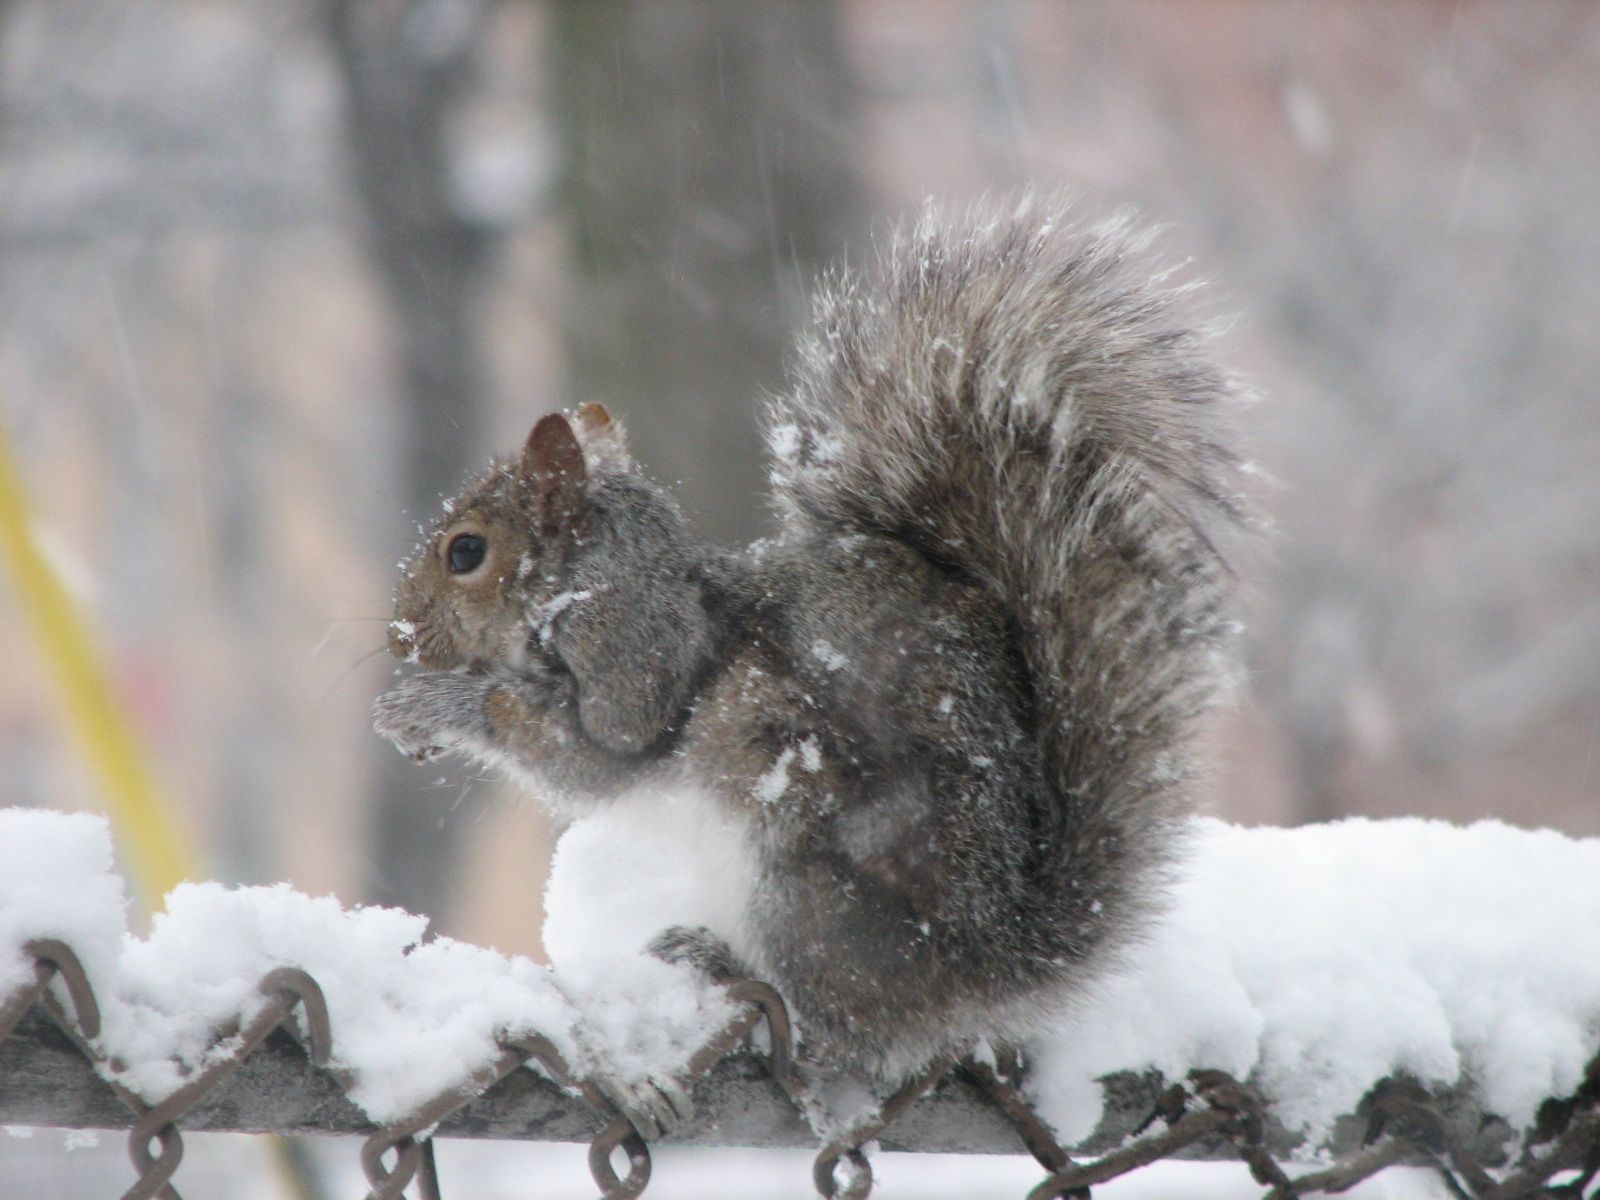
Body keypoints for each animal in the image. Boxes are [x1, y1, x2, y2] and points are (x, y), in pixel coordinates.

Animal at [377, 200, 1248, 1088]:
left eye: (466, 552)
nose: (398, 634)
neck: (591, 576)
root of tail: (991, 969)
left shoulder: (632, 659)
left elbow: (581, 754)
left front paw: (429, 704)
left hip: (793, 867)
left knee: (844, 1030)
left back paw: (726, 966)